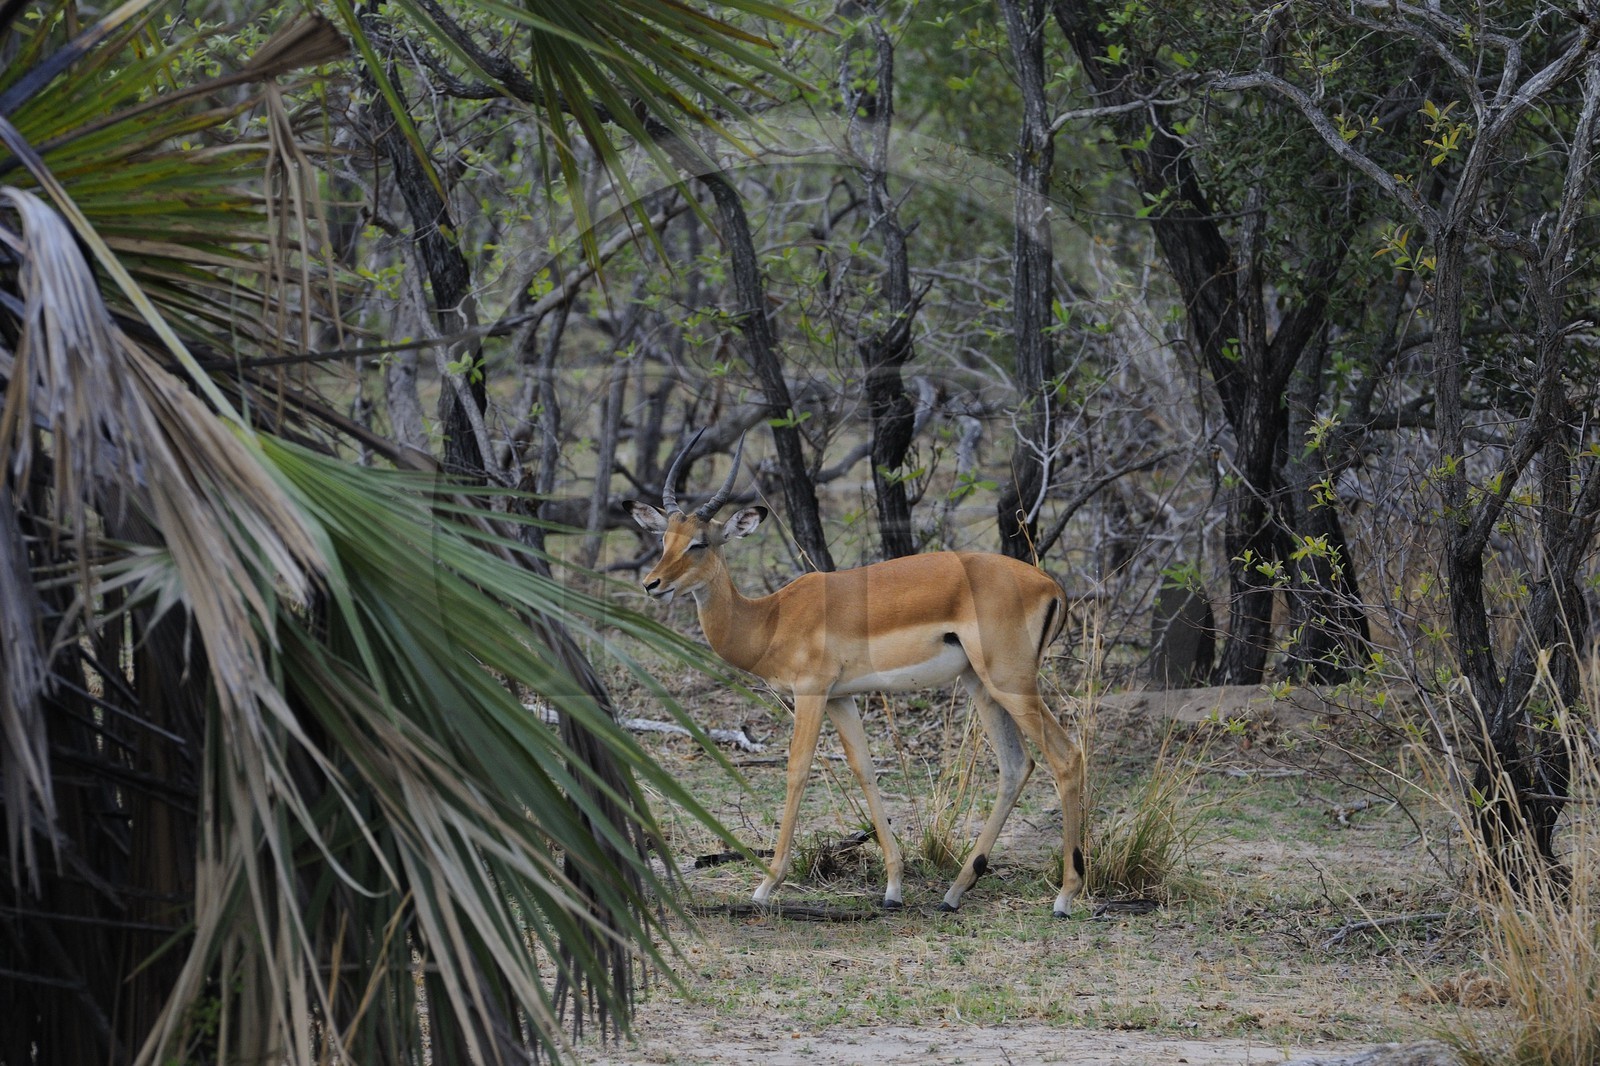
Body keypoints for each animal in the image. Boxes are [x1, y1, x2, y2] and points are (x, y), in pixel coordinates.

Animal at [626, 432, 1085, 916]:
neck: (770, 618)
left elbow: (797, 770)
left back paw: (1064, 896)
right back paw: (954, 892)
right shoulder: (840, 698)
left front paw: (766, 885)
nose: (652, 584)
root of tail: (1051, 585)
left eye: (699, 542)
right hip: (981, 685)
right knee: (1017, 766)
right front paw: (893, 888)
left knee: (1066, 756)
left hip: (1012, 684)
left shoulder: (810, 692)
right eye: (664, 538)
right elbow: (864, 770)